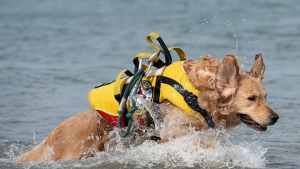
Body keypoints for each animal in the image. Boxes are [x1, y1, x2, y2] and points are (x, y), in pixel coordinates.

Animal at [19, 53, 278, 162]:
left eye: (266, 97)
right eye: (252, 98)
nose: (275, 117)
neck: (197, 94)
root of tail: (55, 135)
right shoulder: (174, 132)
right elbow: (204, 143)